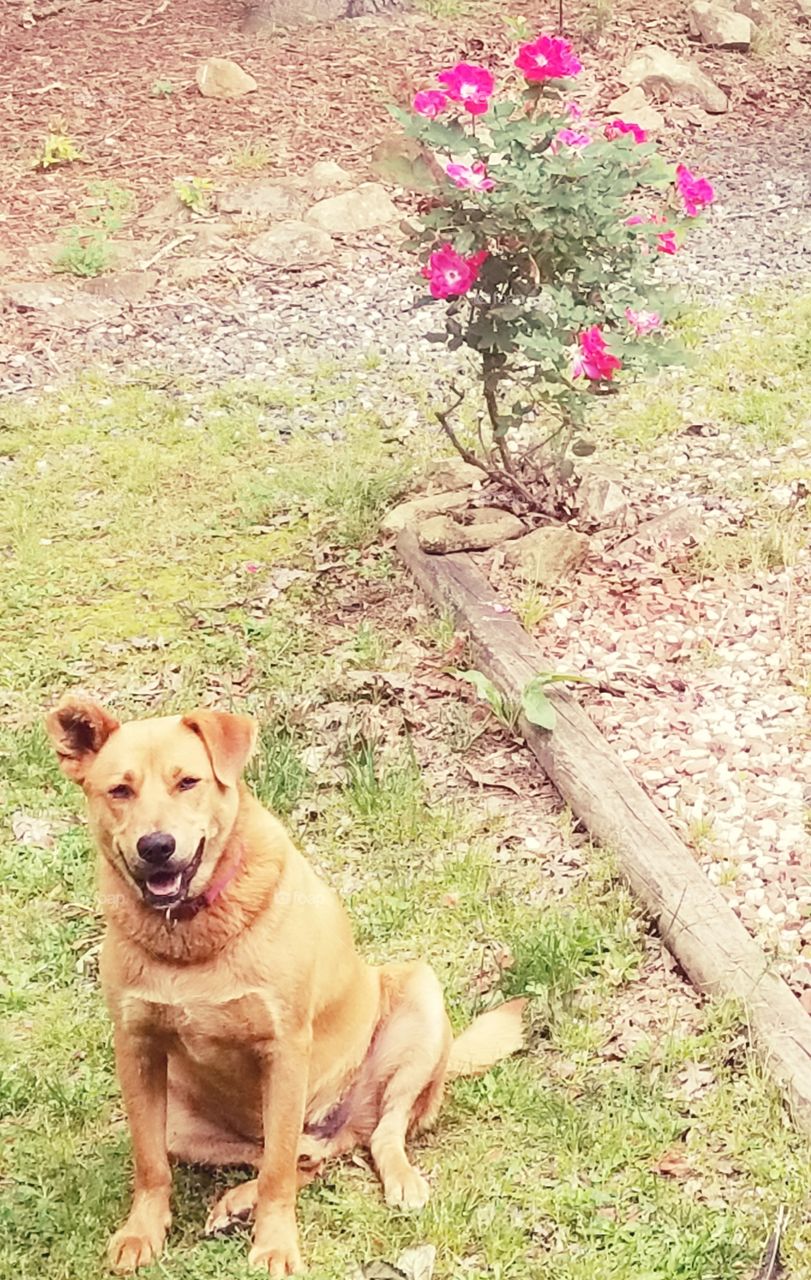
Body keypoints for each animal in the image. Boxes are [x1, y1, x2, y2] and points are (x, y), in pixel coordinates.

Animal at [45, 696, 524, 1274]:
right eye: (119, 790)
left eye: (188, 782)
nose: (156, 846)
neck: (190, 936)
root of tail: (339, 1121)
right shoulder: (136, 1049)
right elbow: (150, 1163)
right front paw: (143, 1231)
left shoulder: (285, 1048)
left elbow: (277, 1173)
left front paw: (274, 1244)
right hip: (183, 1119)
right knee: (299, 1154)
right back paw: (237, 1201)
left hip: (418, 998)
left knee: (375, 1134)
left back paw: (395, 1179)